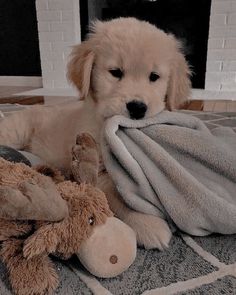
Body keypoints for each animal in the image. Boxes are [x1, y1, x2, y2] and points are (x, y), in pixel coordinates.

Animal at [0, 17, 190, 251]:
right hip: (15, 132)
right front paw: (148, 224)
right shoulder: (94, 170)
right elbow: (117, 196)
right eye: (116, 72)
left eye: (154, 77)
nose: (137, 108)